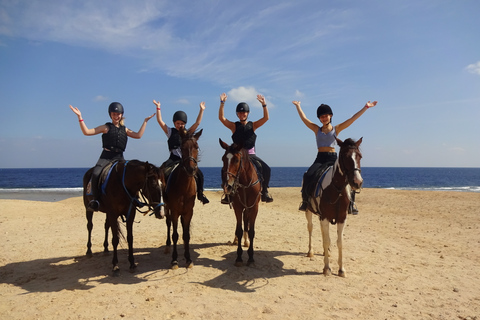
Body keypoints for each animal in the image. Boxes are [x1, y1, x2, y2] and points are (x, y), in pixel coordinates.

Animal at [162, 129, 202, 268]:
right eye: (182, 147)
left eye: (196, 147)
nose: (191, 169)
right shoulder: (174, 211)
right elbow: (175, 235)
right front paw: (174, 260)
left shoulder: (188, 212)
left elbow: (186, 235)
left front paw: (188, 258)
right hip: (168, 208)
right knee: (168, 223)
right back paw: (167, 246)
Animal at [304, 136, 364, 276]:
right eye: (345, 156)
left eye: (359, 156)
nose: (357, 182)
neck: (336, 189)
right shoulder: (325, 217)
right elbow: (326, 240)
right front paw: (327, 268)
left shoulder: (342, 218)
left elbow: (339, 242)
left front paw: (341, 269)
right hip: (308, 211)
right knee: (310, 227)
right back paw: (310, 251)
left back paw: (327, 252)